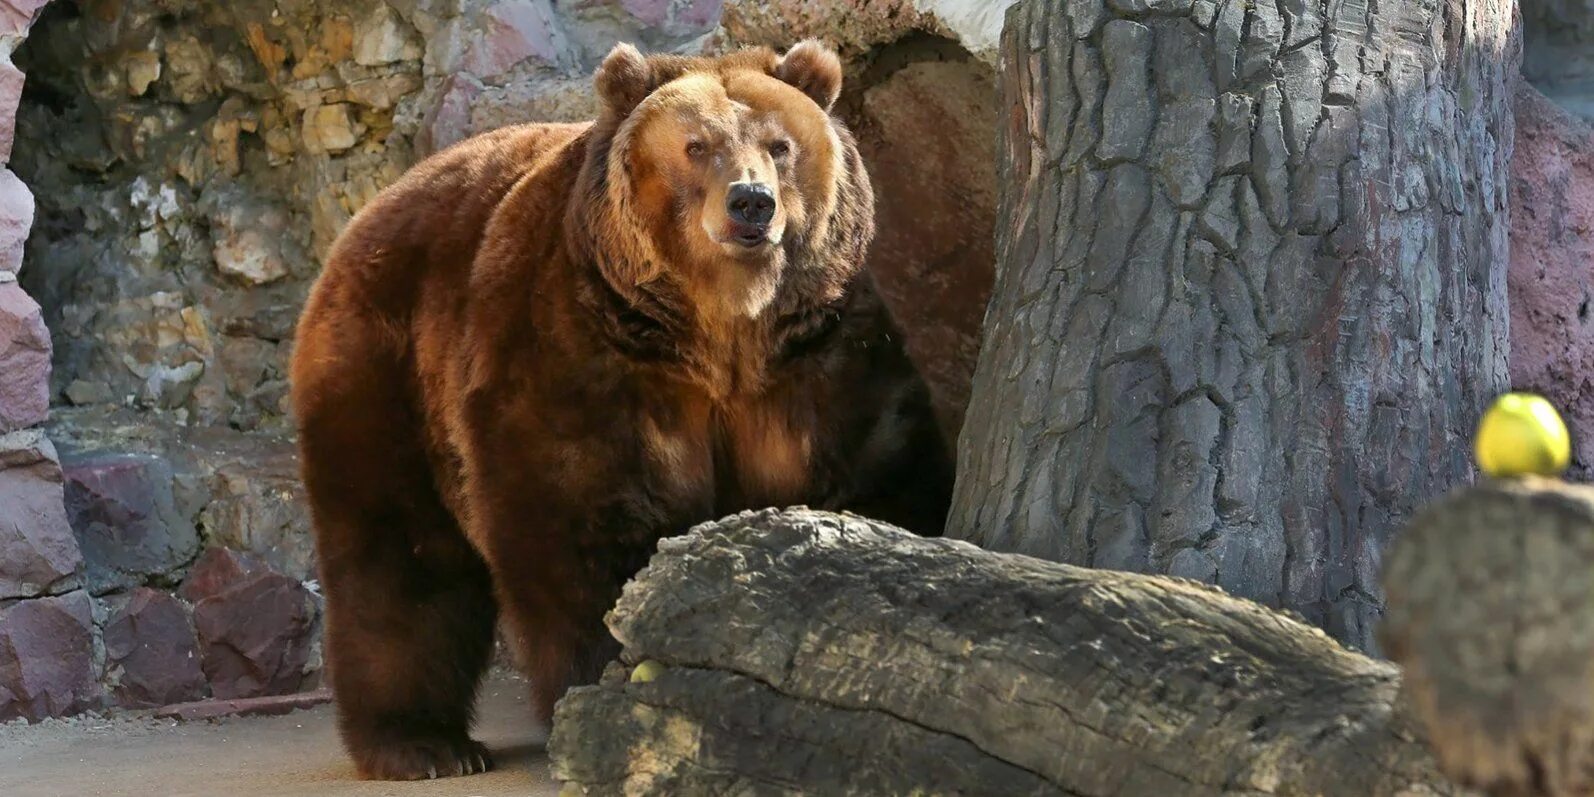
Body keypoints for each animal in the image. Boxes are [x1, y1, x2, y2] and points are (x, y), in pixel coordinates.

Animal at [290, 40, 943, 781]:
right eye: (697, 145)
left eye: (779, 145)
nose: (751, 203)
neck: (722, 335)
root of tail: (376, 204)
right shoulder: (584, 352)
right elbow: (580, 517)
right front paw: (611, 692)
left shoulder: (820, 359)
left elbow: (880, 473)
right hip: (386, 370)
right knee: (398, 558)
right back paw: (423, 744)